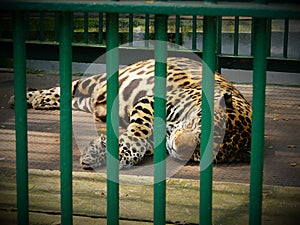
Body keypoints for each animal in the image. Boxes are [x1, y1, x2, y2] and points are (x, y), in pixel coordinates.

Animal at [8, 57, 251, 170]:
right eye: (193, 125)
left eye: (201, 149)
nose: (177, 146)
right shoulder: (150, 101)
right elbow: (138, 134)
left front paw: (99, 152)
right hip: (97, 81)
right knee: (67, 87)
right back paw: (26, 98)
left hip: (90, 101)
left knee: (74, 99)